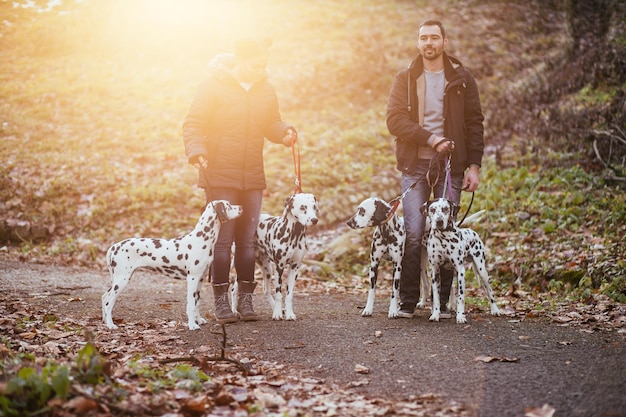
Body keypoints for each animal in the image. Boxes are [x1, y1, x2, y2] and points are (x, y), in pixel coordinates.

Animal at [101, 200, 240, 330]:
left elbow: (197, 303)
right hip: (122, 280)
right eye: (228, 205)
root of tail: (114, 246)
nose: (241, 207)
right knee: (108, 302)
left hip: (118, 280)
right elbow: (191, 304)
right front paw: (192, 325)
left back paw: (104, 321)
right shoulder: (192, 278)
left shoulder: (200, 278)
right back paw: (111, 325)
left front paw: (199, 320)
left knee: (104, 297)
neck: (201, 239)